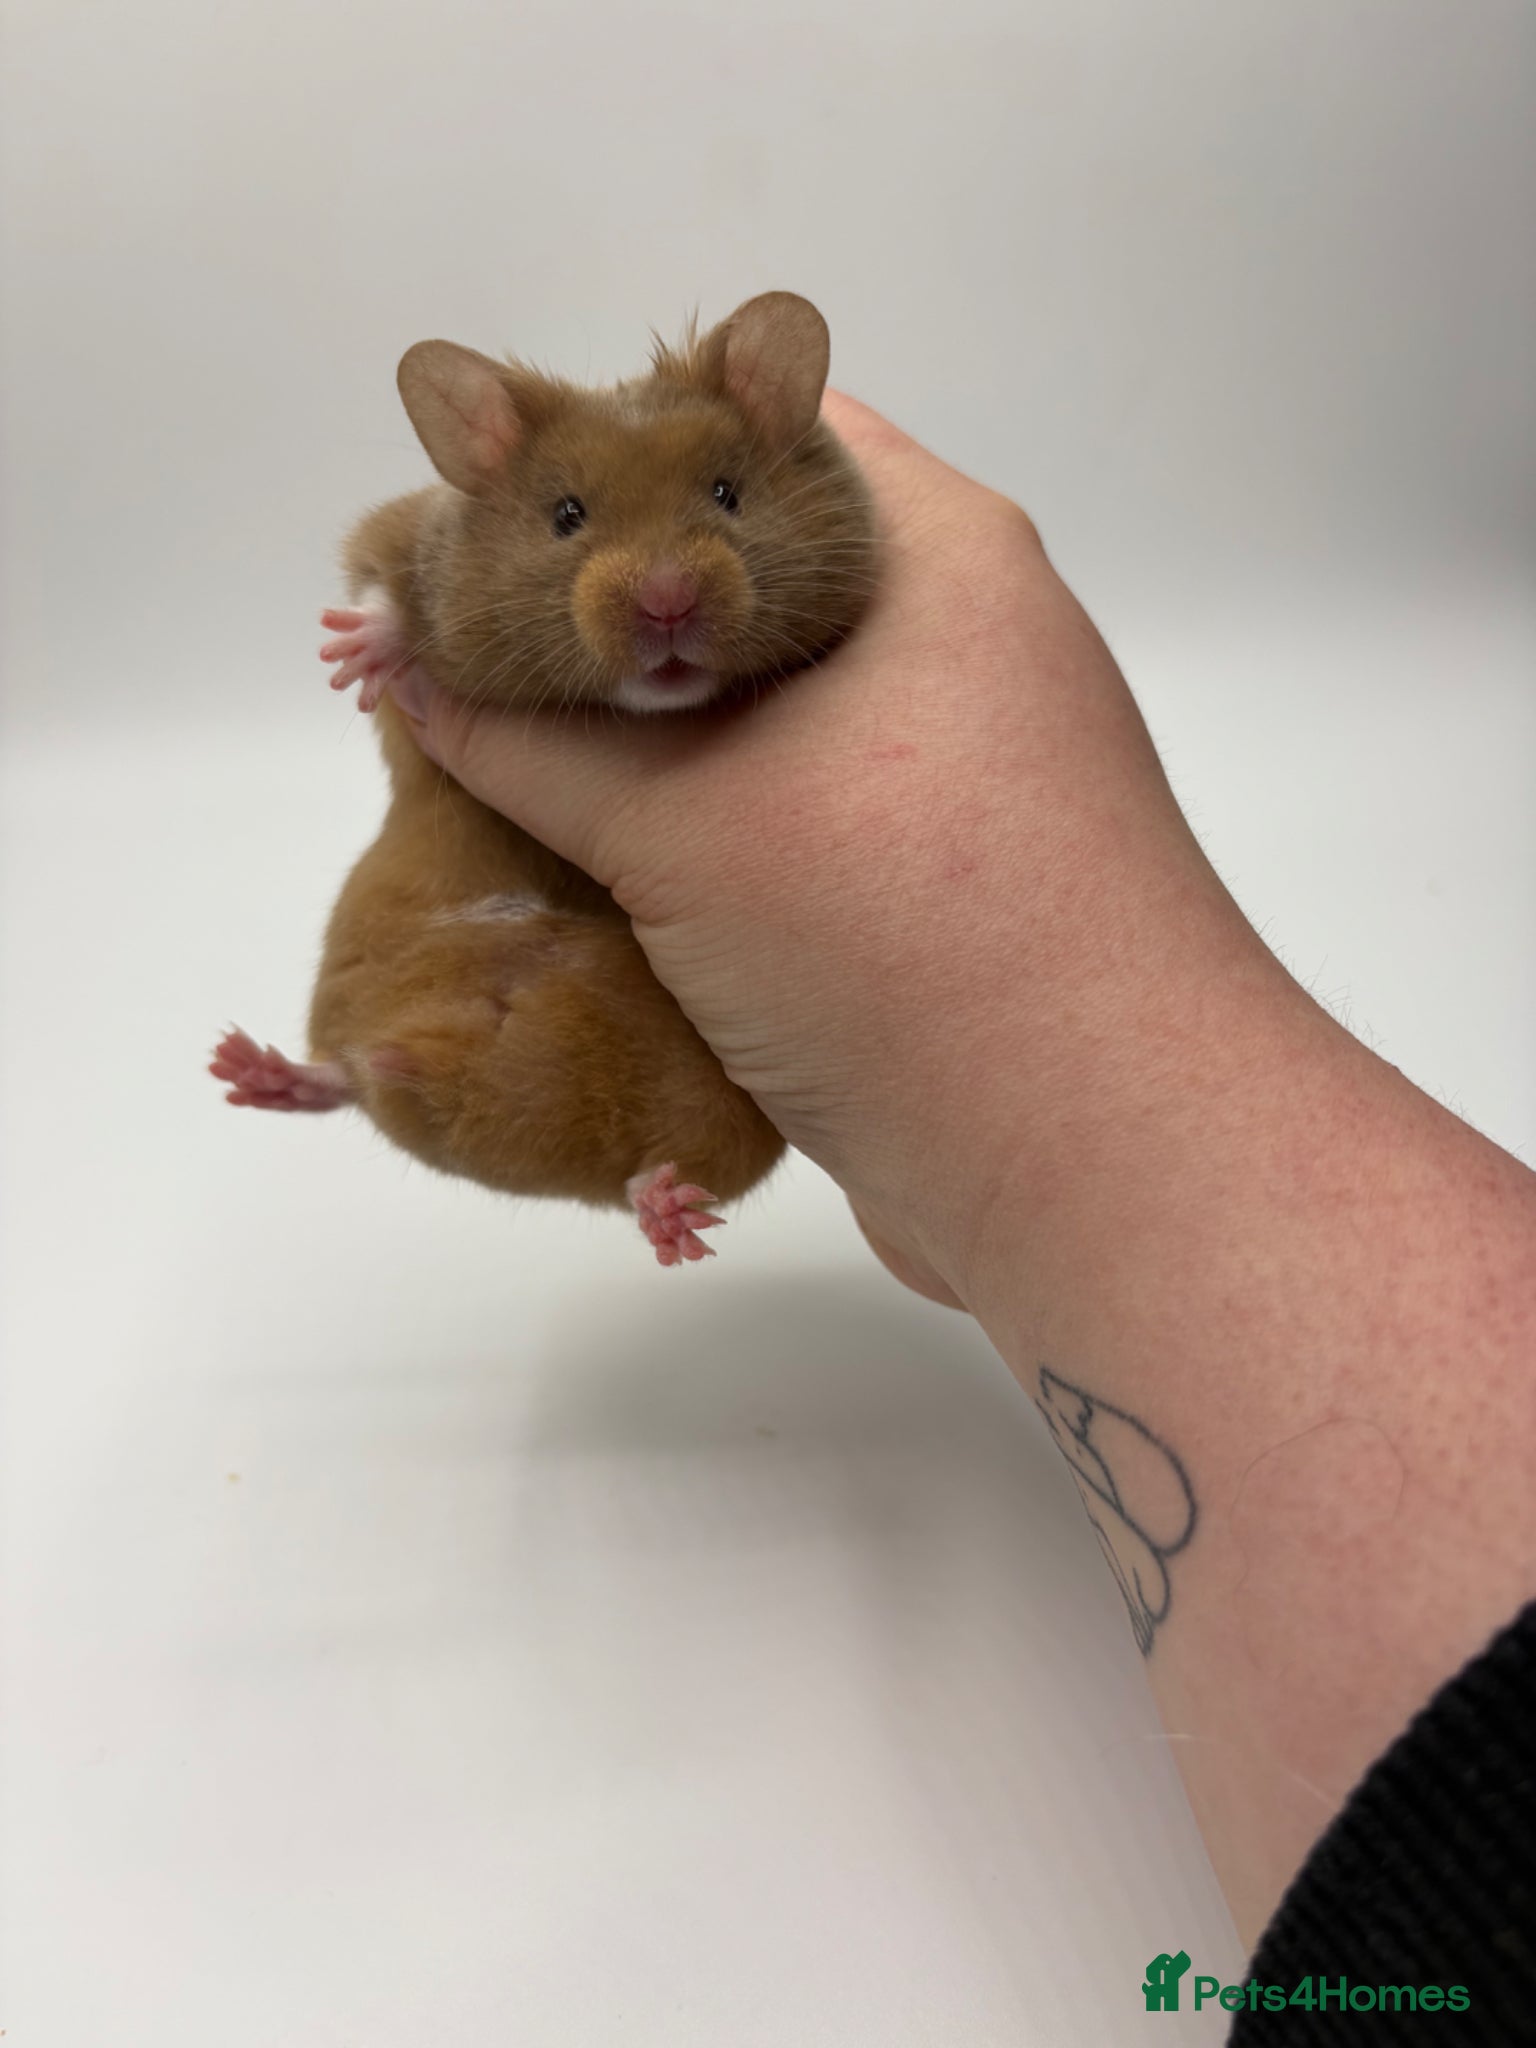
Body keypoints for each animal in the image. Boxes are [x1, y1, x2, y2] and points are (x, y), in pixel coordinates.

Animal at [211, 293, 877, 1265]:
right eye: (567, 514)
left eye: (727, 493)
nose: (667, 603)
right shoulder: (397, 533)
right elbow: (380, 590)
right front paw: (359, 656)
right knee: (342, 1074)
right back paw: (243, 1068)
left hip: (726, 1111)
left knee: (652, 1168)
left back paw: (668, 1216)